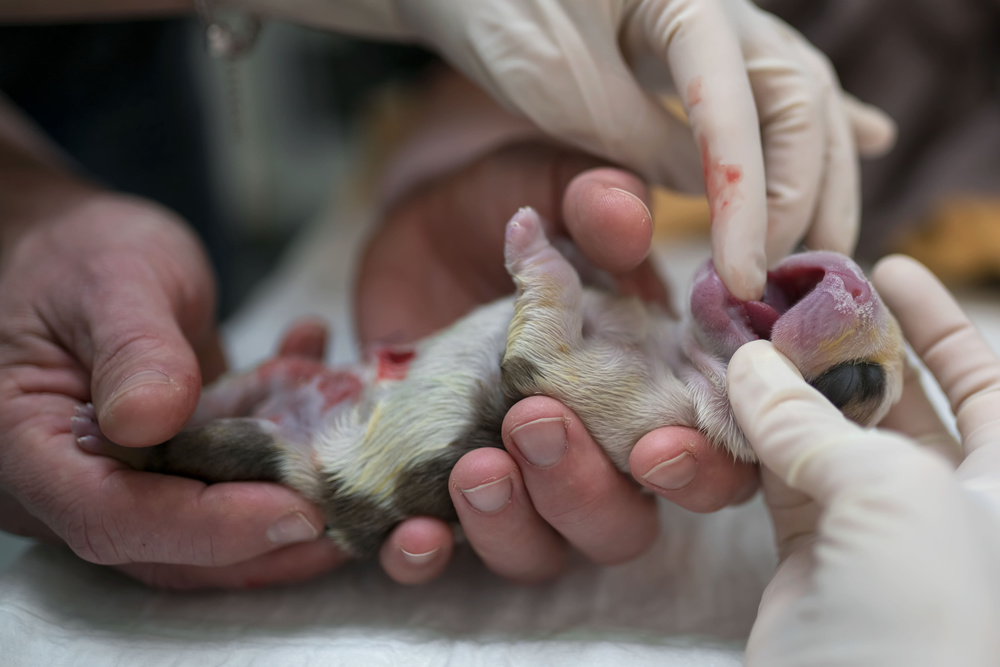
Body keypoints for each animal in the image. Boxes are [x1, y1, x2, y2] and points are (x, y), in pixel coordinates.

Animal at [72, 209, 908, 560]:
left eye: (858, 382)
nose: (858, 280)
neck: (674, 349)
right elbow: (598, 274)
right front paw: (581, 236)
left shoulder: (621, 399)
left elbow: (541, 342)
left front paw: (535, 243)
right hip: (276, 382)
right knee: (253, 379)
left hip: (280, 461)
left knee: (217, 444)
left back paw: (115, 438)